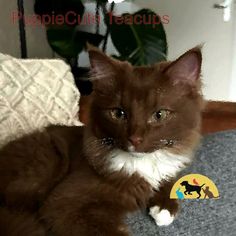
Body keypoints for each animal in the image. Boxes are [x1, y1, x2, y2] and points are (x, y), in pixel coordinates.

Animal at [0, 45, 203, 234]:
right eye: (118, 113)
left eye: (159, 114)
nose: (135, 139)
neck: (141, 164)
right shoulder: (65, 203)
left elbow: (169, 177)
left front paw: (164, 210)